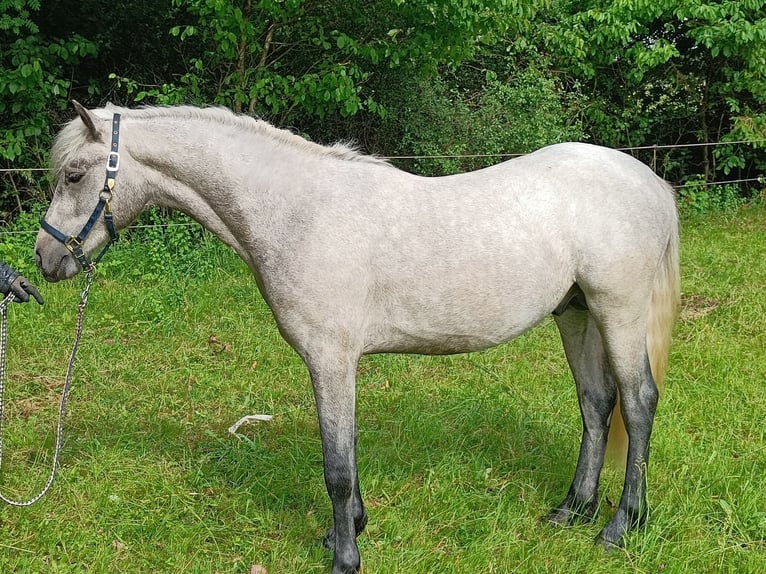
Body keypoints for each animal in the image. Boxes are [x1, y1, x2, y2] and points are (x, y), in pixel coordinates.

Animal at [35, 102, 679, 574]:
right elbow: (346, 453)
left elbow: (337, 465)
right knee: (596, 405)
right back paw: (573, 511)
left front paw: (346, 555)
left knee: (638, 404)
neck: (298, 212)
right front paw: (347, 532)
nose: (44, 259)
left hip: (618, 310)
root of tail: (648, 180)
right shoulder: (335, 362)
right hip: (577, 313)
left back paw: (620, 526)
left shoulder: (330, 358)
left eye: (74, 174)